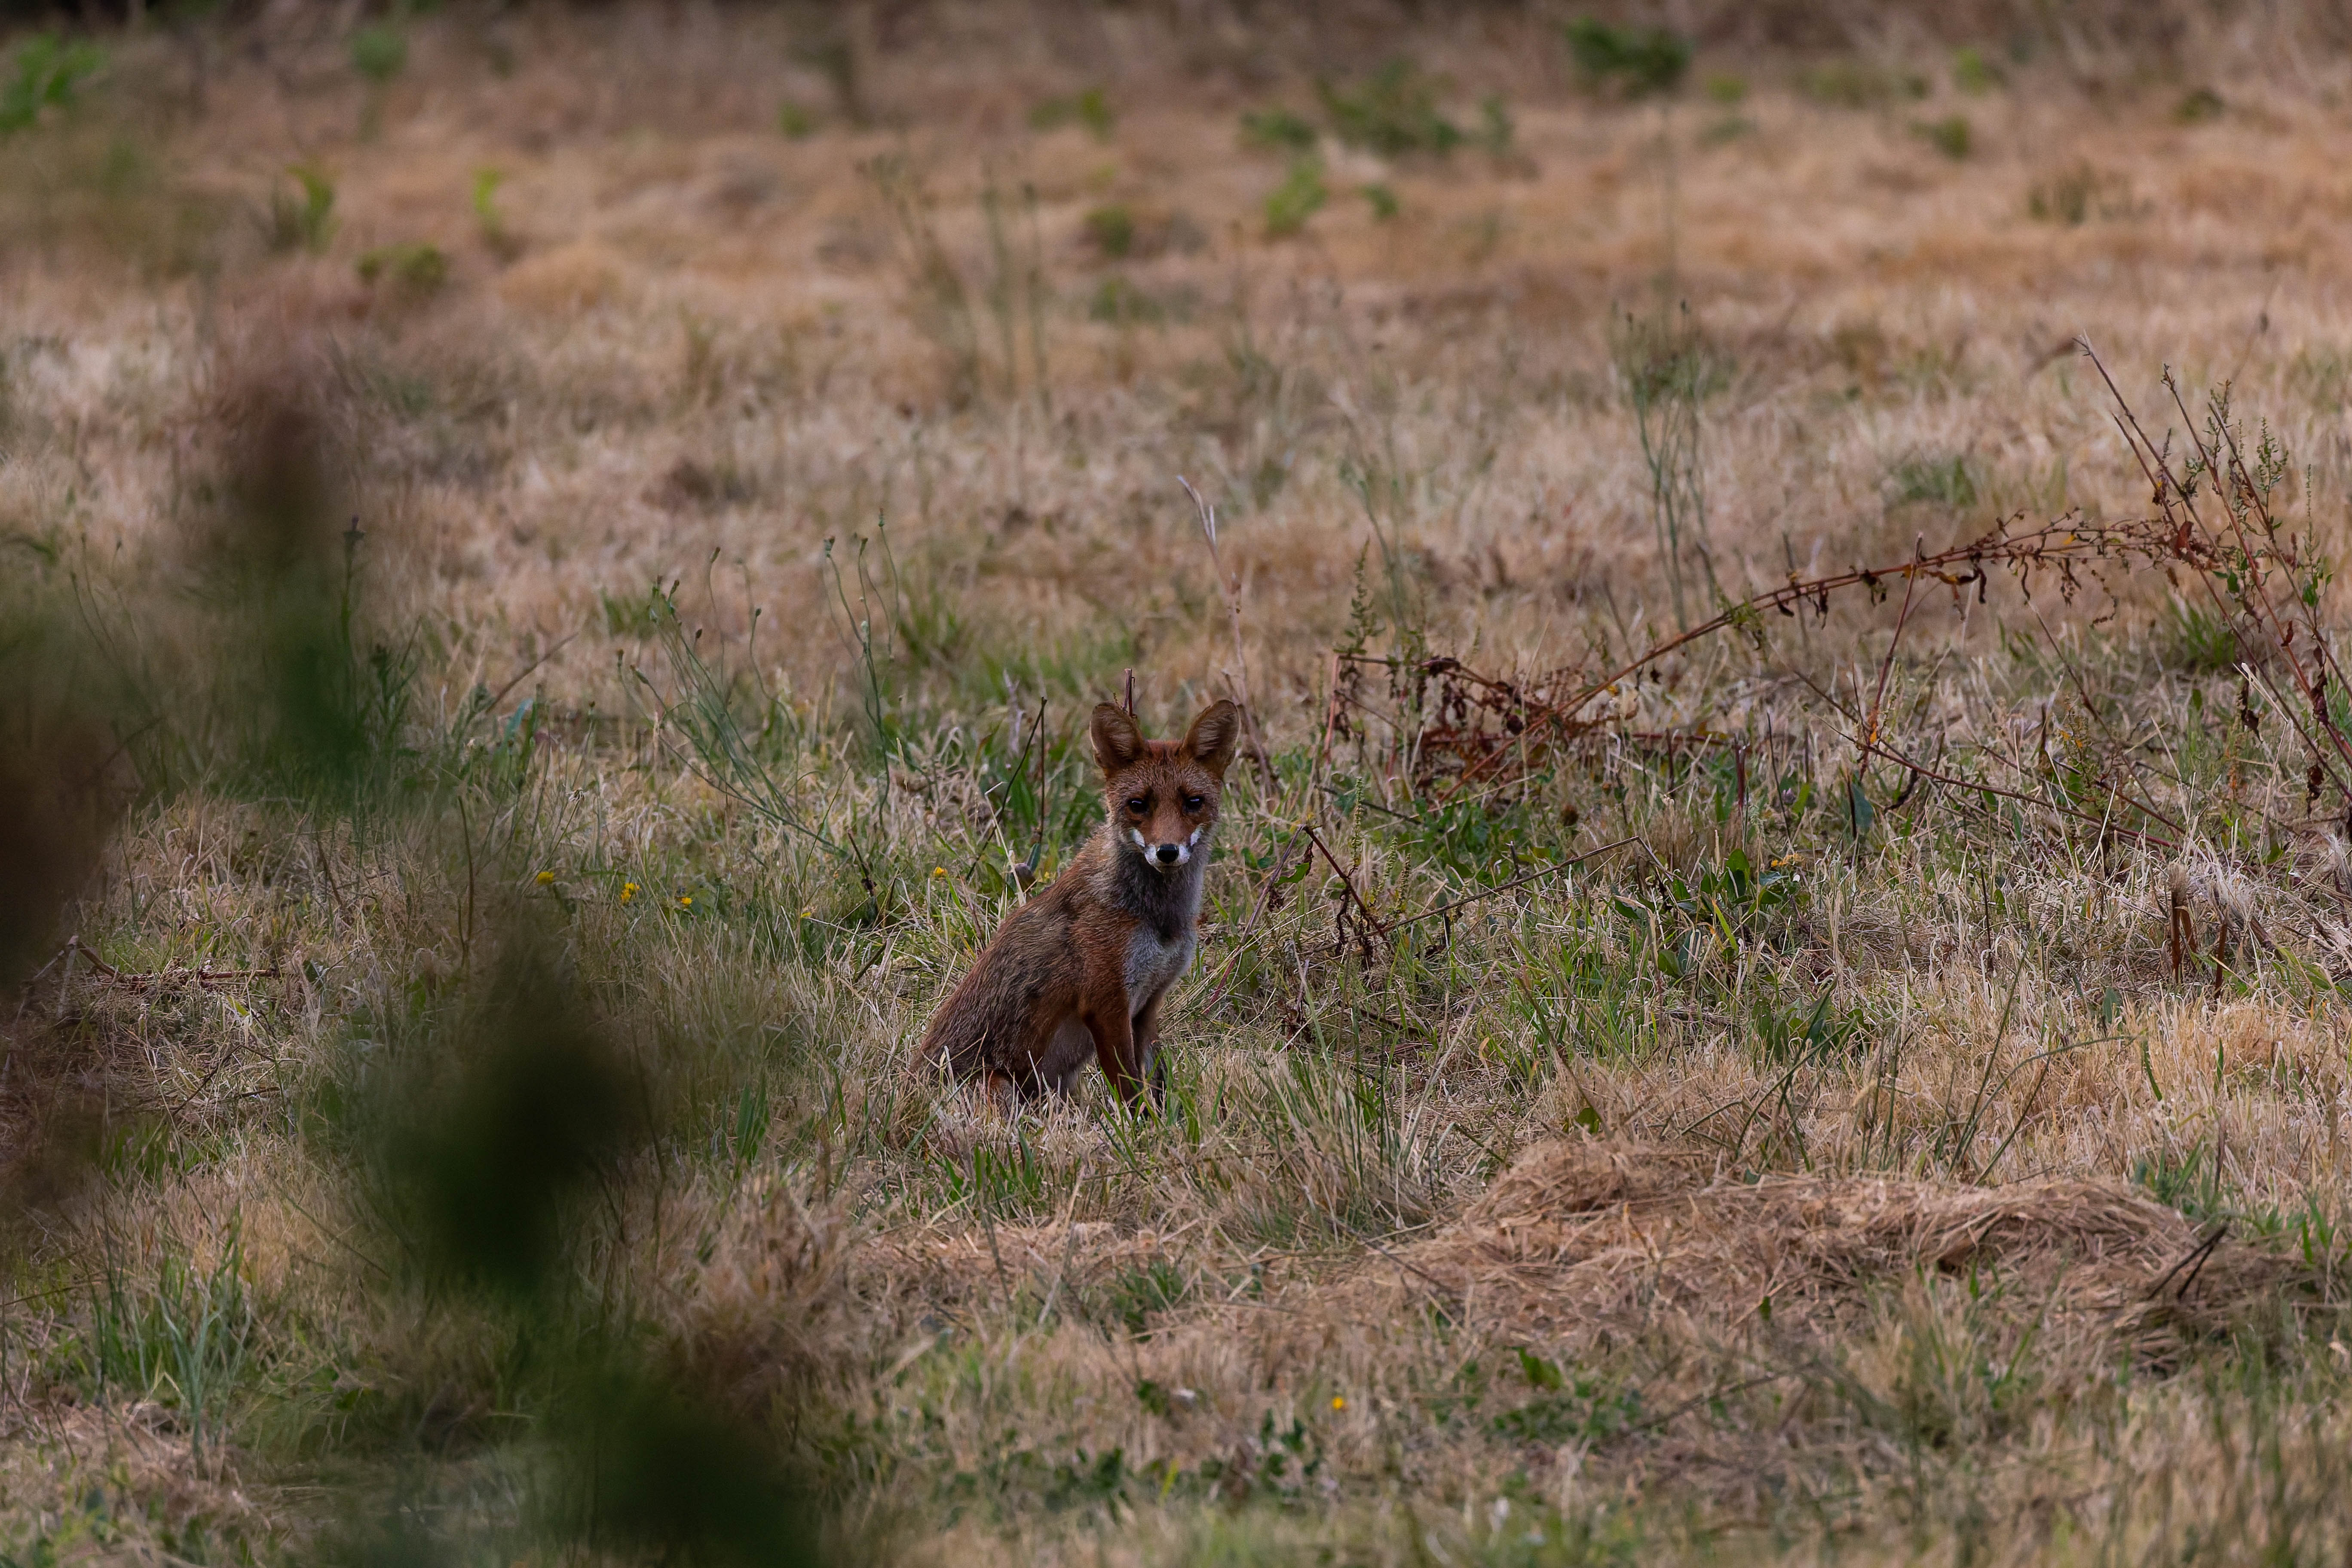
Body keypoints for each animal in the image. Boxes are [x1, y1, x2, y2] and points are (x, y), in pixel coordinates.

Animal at [921, 697, 1241, 1105]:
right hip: (1001, 1088)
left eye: (1193, 802)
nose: (1167, 852)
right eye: (1138, 804)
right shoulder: (1106, 1004)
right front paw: (1138, 1123)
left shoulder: (1148, 1005)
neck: (1157, 919)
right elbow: (1130, 1090)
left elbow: (1156, 1083)